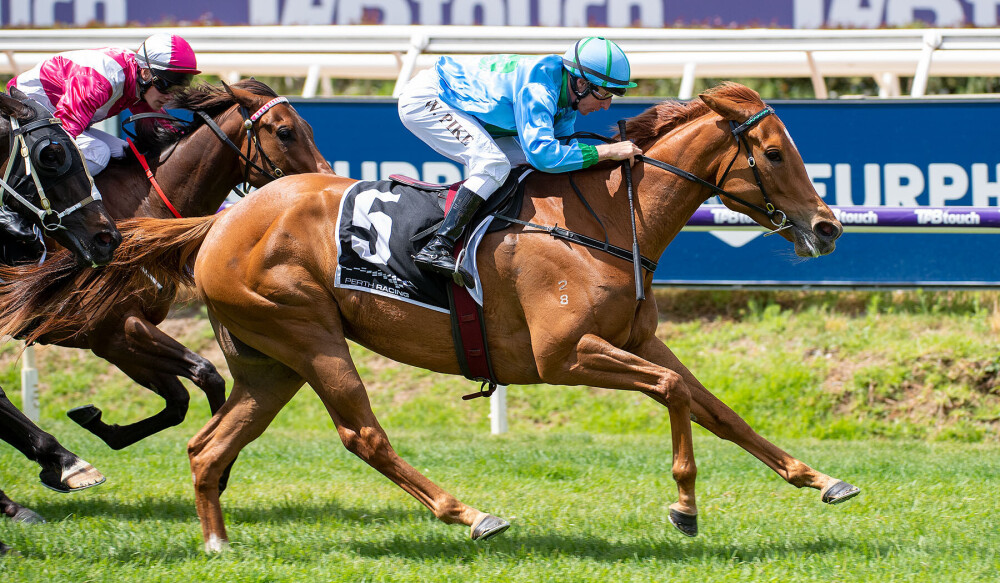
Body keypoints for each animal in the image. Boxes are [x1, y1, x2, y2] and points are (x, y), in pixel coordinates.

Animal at [0, 79, 333, 454]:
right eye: (285, 131)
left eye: (308, 128)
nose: (326, 179)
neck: (144, 206)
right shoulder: (112, 326)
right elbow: (207, 374)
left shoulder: (114, 338)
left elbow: (179, 400)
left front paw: (97, 423)